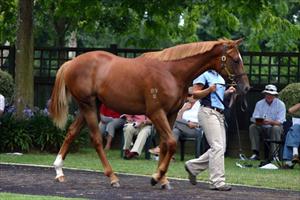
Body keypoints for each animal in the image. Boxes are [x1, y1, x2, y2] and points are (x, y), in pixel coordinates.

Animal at [49, 38, 251, 189]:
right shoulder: (156, 112)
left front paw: (163, 180)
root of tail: (71, 63)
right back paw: (112, 177)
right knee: (96, 139)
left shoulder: (170, 113)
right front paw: (156, 177)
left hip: (90, 106)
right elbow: (171, 143)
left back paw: (59, 171)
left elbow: (165, 144)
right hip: (88, 105)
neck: (171, 72)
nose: (246, 87)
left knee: (71, 132)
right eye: (235, 60)